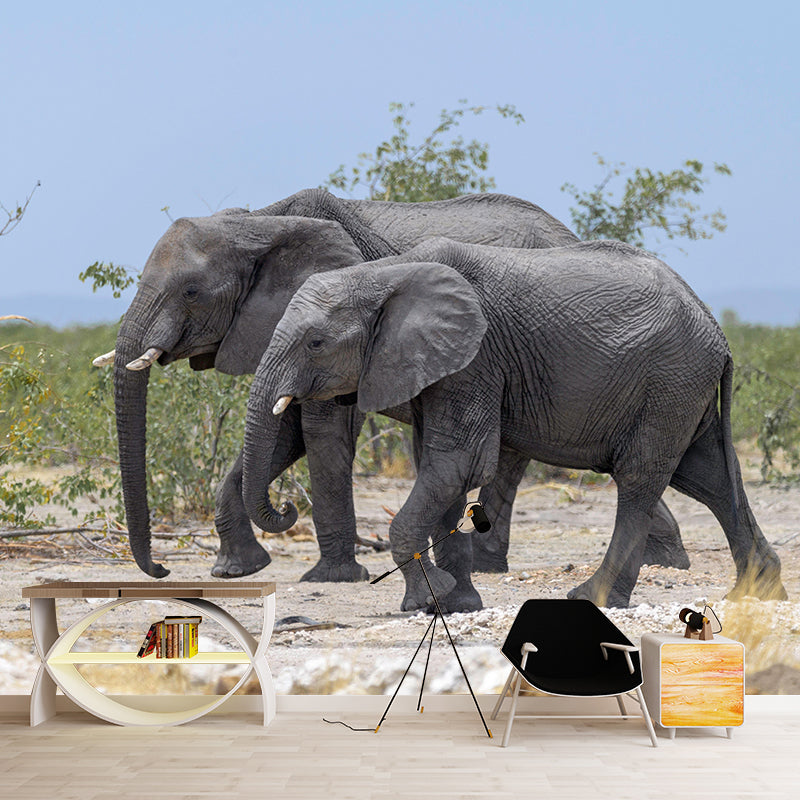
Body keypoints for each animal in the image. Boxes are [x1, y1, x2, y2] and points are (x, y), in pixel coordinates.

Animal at [241, 237, 787, 611]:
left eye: (315, 343)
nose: (287, 508)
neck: (383, 274)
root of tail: (716, 328)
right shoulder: (440, 368)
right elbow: (438, 469)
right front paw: (457, 602)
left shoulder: (476, 359)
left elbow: (456, 464)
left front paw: (424, 601)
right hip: (682, 388)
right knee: (708, 477)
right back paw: (757, 593)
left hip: (670, 381)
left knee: (640, 480)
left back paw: (590, 596)